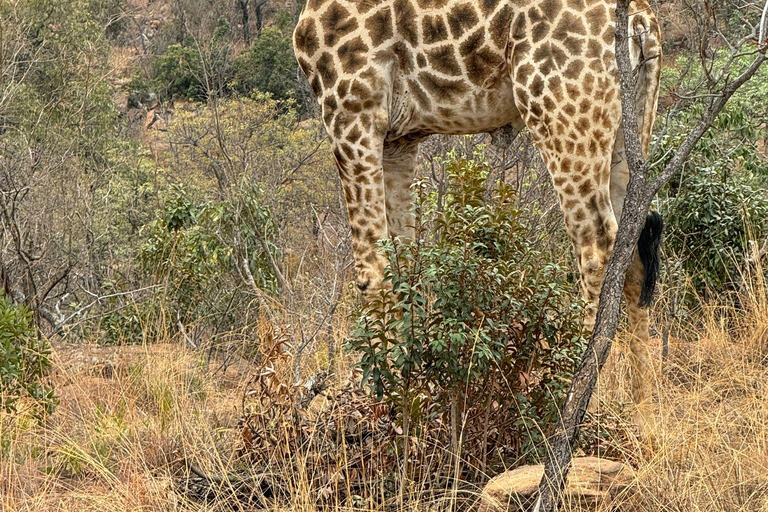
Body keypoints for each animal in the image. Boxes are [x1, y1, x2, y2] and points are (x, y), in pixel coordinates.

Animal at [292, 0, 664, 416]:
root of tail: (643, 21)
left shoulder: (352, 110)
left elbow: (372, 270)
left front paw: (381, 403)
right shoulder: (399, 138)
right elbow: (406, 263)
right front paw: (412, 390)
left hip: (562, 114)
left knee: (597, 245)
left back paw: (567, 395)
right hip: (631, 121)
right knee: (632, 248)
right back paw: (643, 408)